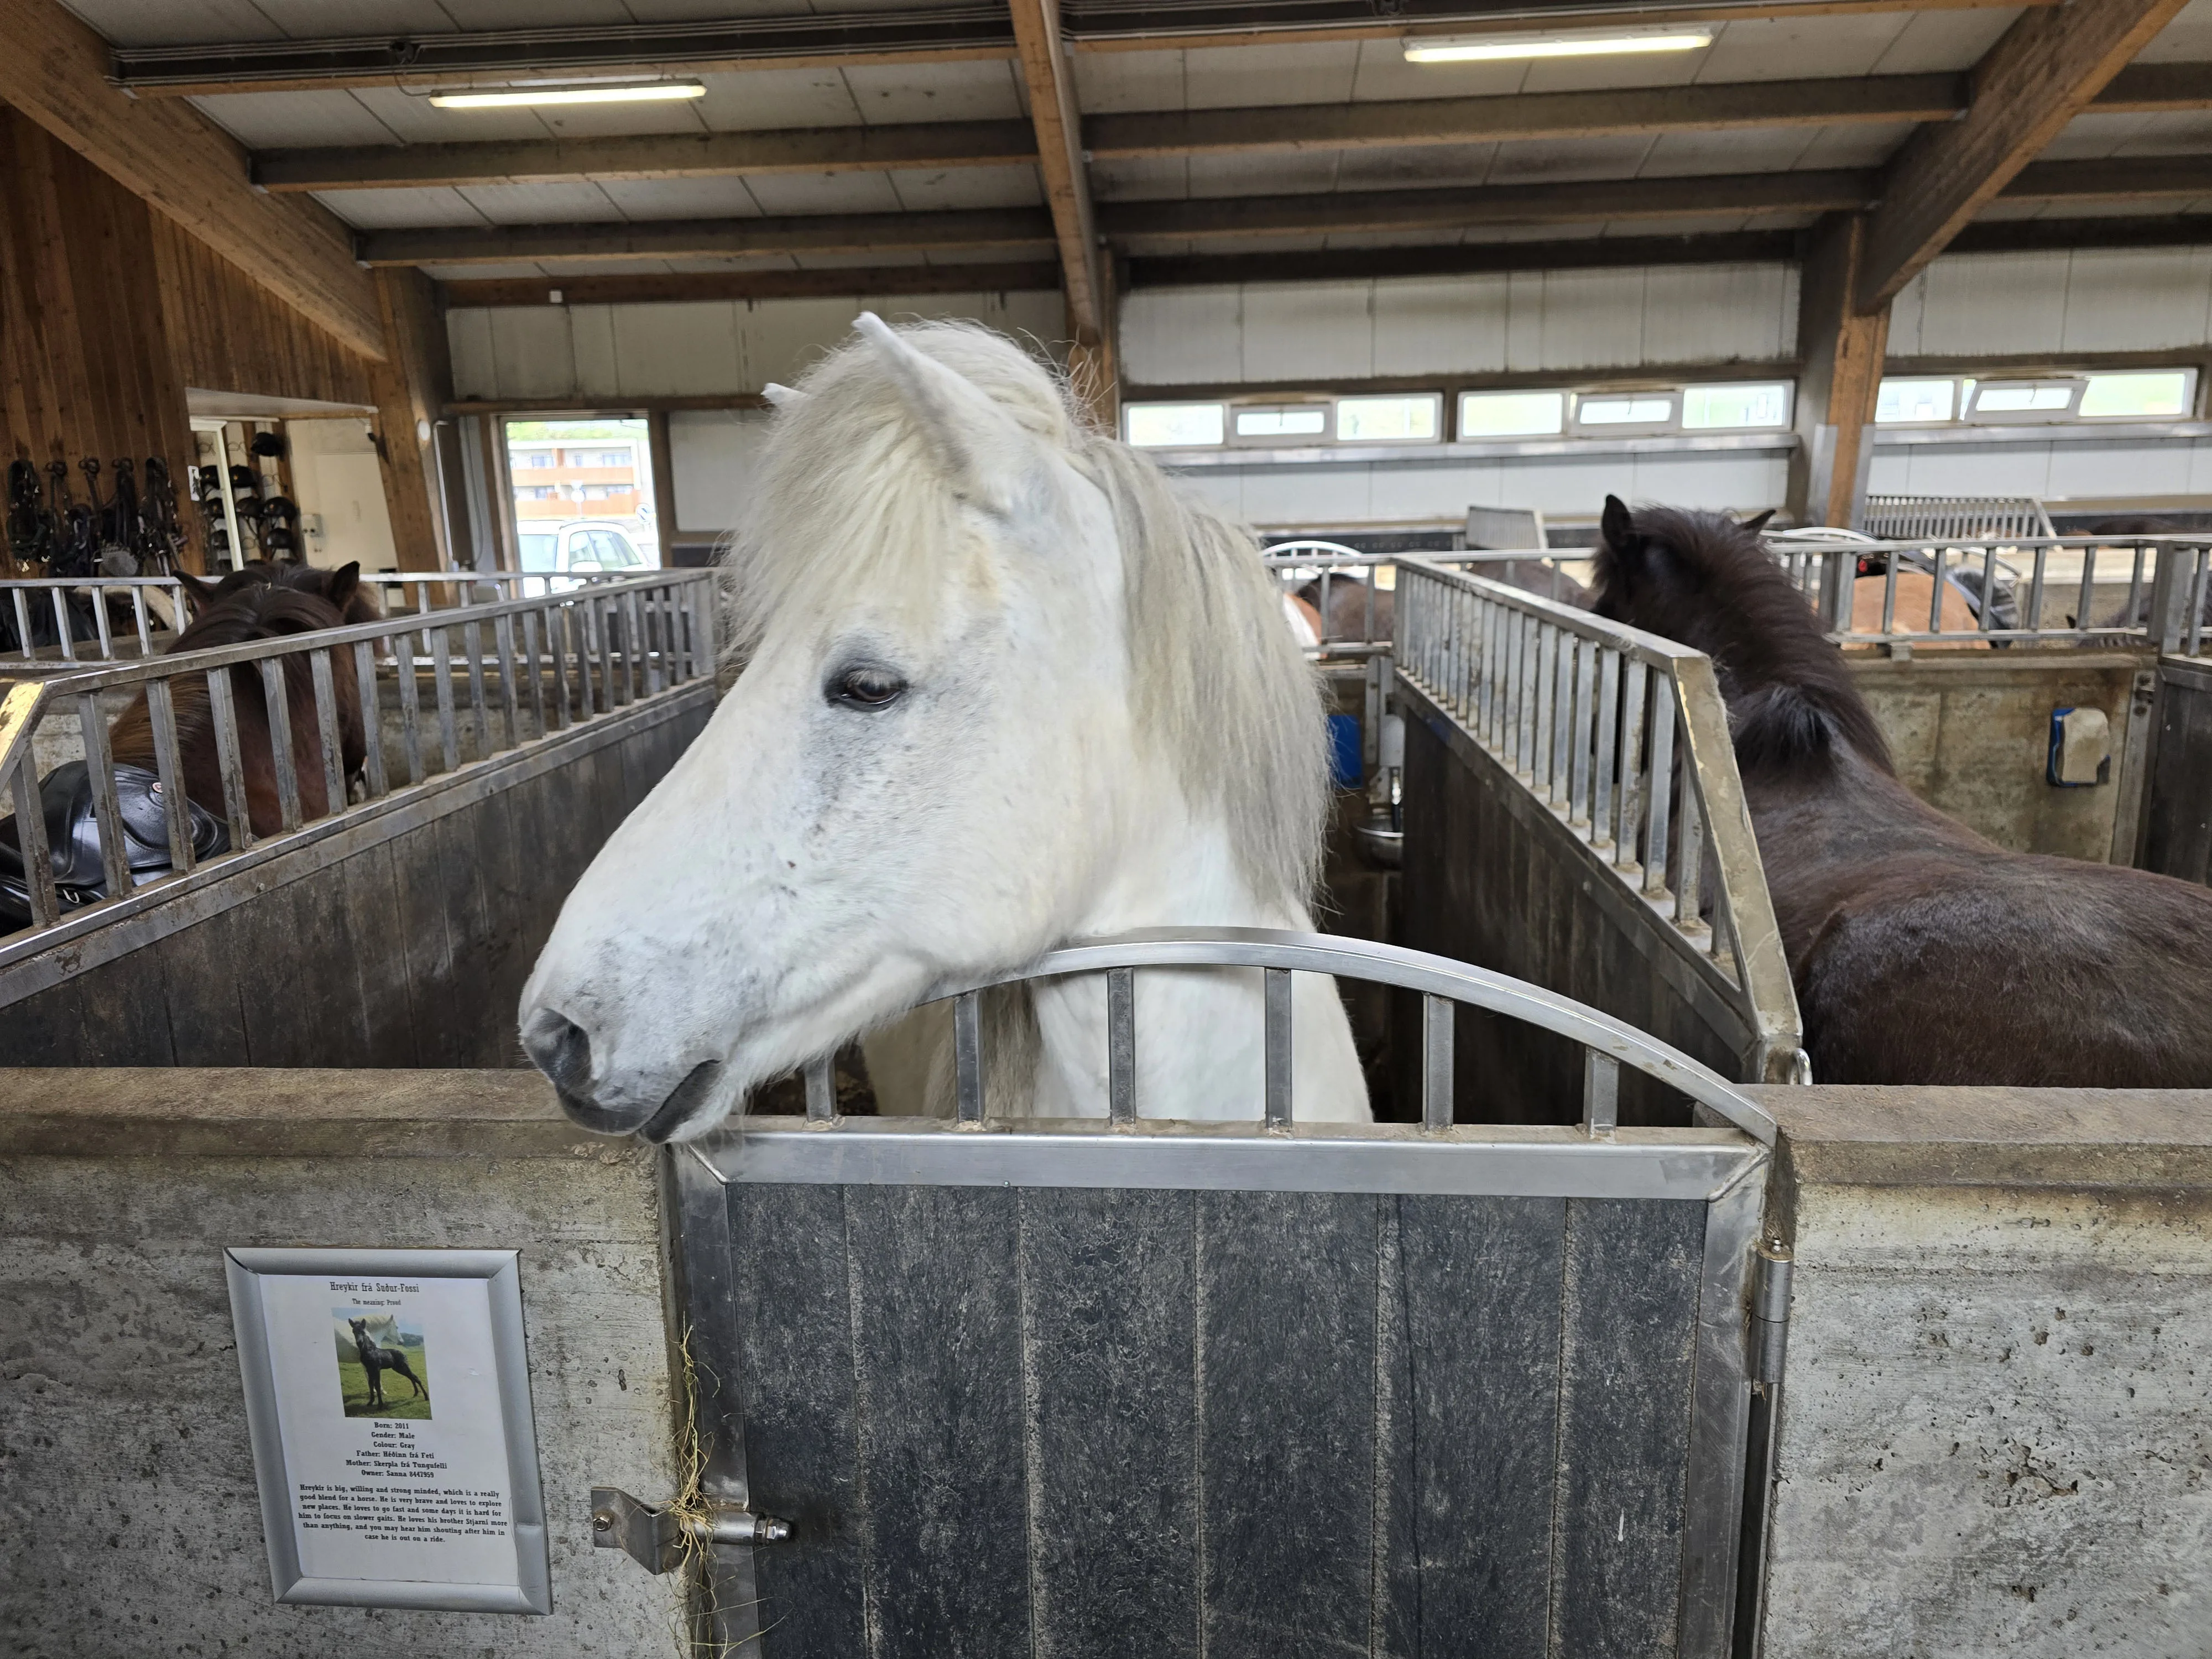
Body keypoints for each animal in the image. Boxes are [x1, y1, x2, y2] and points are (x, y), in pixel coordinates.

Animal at [346, 1317, 427, 1409]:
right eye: (353, 1331)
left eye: (363, 1332)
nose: (359, 1342)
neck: (369, 1351)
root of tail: (404, 1355)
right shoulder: (369, 1370)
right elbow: (371, 1384)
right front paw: (371, 1402)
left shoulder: (377, 1369)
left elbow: (377, 1385)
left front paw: (380, 1405)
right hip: (399, 1369)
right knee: (411, 1378)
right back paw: (416, 1393)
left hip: (404, 1367)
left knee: (416, 1378)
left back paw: (426, 1397)